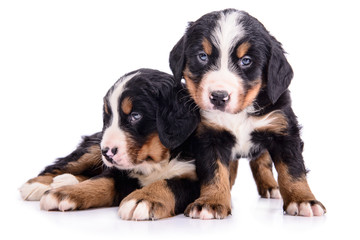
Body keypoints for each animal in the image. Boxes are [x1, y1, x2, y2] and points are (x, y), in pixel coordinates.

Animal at [19, 68, 200, 220]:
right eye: (108, 117)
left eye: (135, 116)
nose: (106, 152)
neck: (158, 161)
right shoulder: (120, 172)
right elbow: (101, 181)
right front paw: (65, 193)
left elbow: (170, 183)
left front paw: (143, 198)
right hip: (92, 148)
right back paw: (41, 184)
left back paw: (63, 181)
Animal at [169, 8, 326, 218]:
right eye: (202, 56)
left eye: (246, 61)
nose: (219, 96)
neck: (240, 113)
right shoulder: (209, 135)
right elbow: (214, 172)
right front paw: (211, 201)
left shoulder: (283, 128)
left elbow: (292, 169)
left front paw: (303, 200)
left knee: (262, 161)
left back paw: (270, 186)